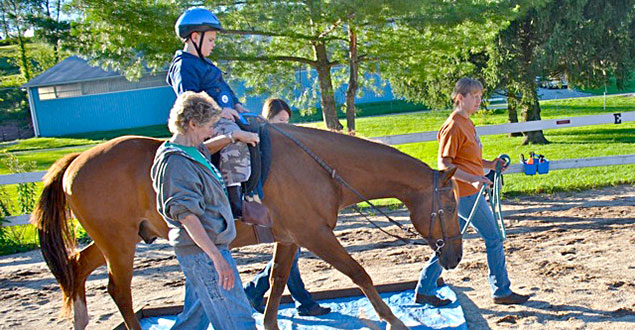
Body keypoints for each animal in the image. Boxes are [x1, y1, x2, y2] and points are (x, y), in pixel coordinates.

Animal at [32, 124, 462, 330]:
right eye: (451, 204)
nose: (455, 256)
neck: (321, 166)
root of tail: (76, 160)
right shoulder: (316, 235)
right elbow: (361, 275)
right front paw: (394, 321)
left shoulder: (291, 238)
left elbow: (276, 283)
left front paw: (270, 322)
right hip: (119, 244)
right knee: (118, 291)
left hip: (112, 241)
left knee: (76, 269)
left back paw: (79, 320)